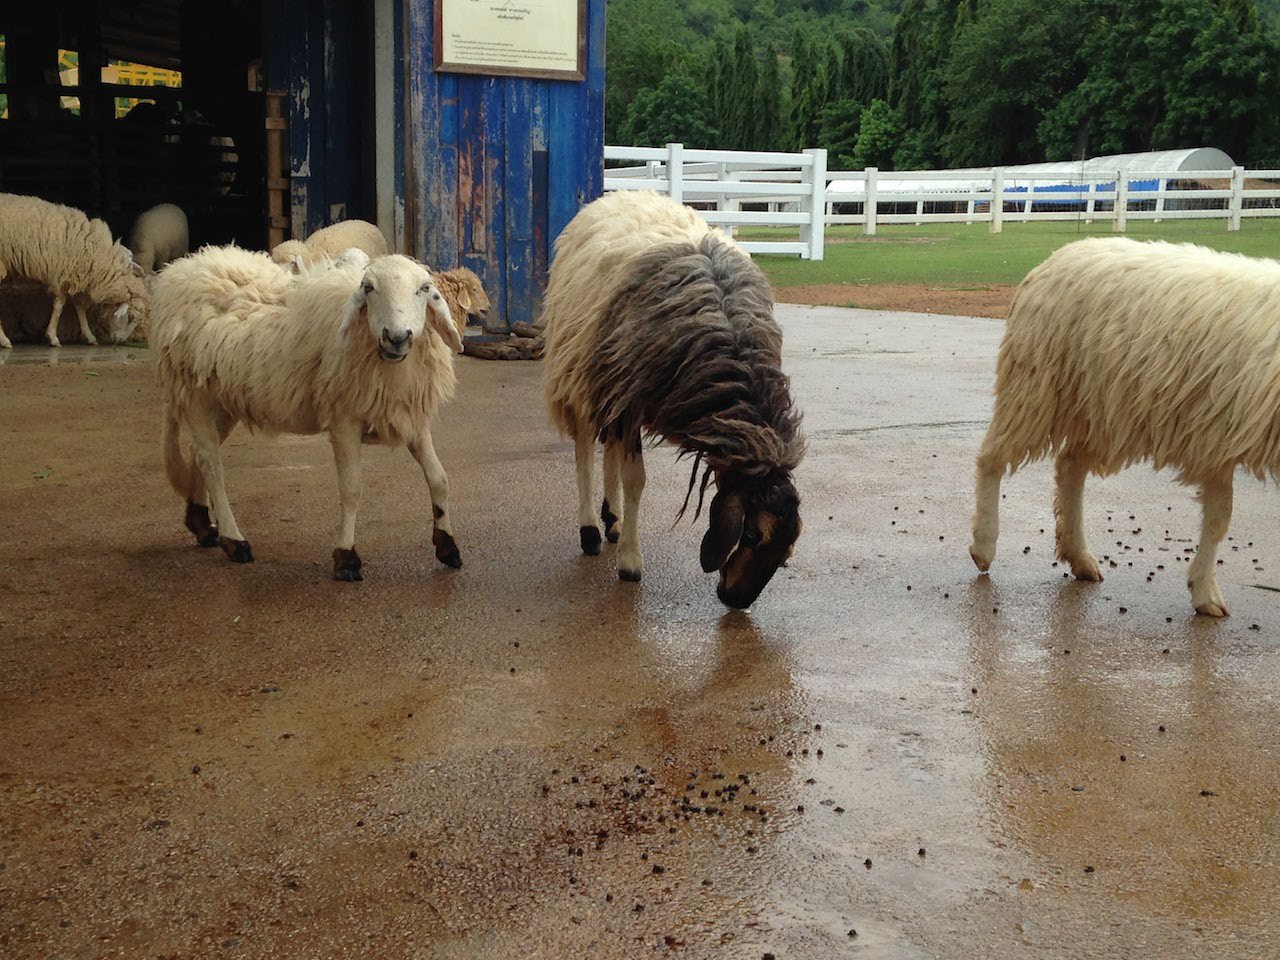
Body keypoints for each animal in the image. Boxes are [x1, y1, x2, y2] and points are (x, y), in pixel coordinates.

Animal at [0, 193, 148, 348]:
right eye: (131, 318)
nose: (120, 341)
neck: (96, 252)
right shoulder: (63, 274)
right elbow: (59, 307)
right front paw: (53, 337)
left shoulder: (77, 275)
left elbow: (80, 308)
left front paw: (90, 336)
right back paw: (5, 341)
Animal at [151, 245, 465, 581]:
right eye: (368, 288)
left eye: (424, 289)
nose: (396, 337)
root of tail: (180, 269)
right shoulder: (344, 419)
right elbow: (352, 489)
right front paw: (346, 558)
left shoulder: (410, 418)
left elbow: (439, 478)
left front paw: (447, 545)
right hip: (195, 396)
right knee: (212, 466)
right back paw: (234, 540)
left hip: (221, 403)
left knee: (199, 455)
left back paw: (202, 524)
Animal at [542, 191, 805, 609]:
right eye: (750, 536)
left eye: (785, 555)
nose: (738, 601)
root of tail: (621, 193)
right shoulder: (629, 401)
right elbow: (636, 480)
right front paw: (630, 561)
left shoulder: (625, 399)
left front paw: (623, 535)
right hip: (581, 371)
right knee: (584, 449)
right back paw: (591, 531)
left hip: (609, 386)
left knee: (609, 448)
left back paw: (612, 519)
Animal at [968, 236, 1280, 617]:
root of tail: (1060, 254)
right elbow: (1219, 518)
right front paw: (1205, 590)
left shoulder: (1214, 437)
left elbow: (1218, 517)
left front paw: (1203, 590)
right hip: (1038, 386)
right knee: (992, 458)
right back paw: (984, 546)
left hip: (1100, 407)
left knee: (1070, 466)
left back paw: (1079, 556)